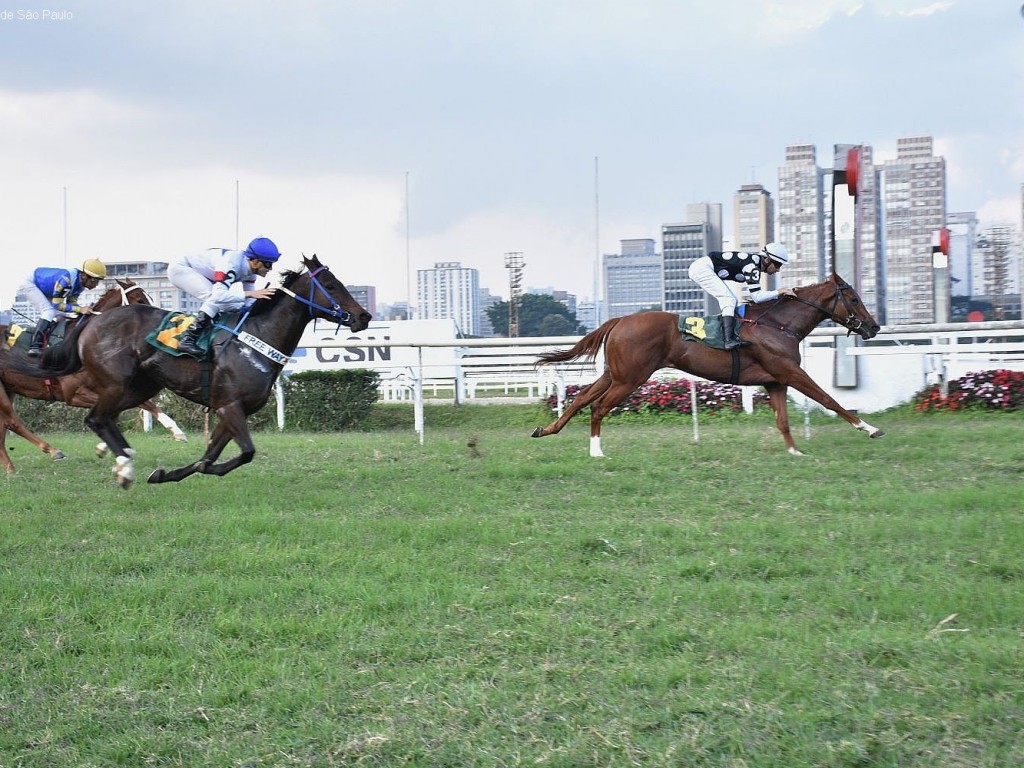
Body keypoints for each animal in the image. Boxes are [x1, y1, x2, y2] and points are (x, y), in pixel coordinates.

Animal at [0, 280, 187, 475]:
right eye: (140, 299)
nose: (160, 325)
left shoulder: (108, 389)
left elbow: (127, 408)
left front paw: (105, 446)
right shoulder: (74, 394)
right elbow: (139, 404)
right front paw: (176, 431)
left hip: (9, 388)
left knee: (3, 427)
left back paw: (10, 467)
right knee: (12, 422)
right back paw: (52, 451)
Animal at [532, 274, 884, 456]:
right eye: (854, 298)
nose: (874, 326)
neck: (778, 325)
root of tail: (618, 320)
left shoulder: (775, 381)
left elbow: (783, 421)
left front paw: (795, 453)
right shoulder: (790, 372)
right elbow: (830, 399)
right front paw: (869, 428)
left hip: (615, 374)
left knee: (581, 397)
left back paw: (546, 430)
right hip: (630, 378)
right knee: (598, 406)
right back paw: (596, 451)